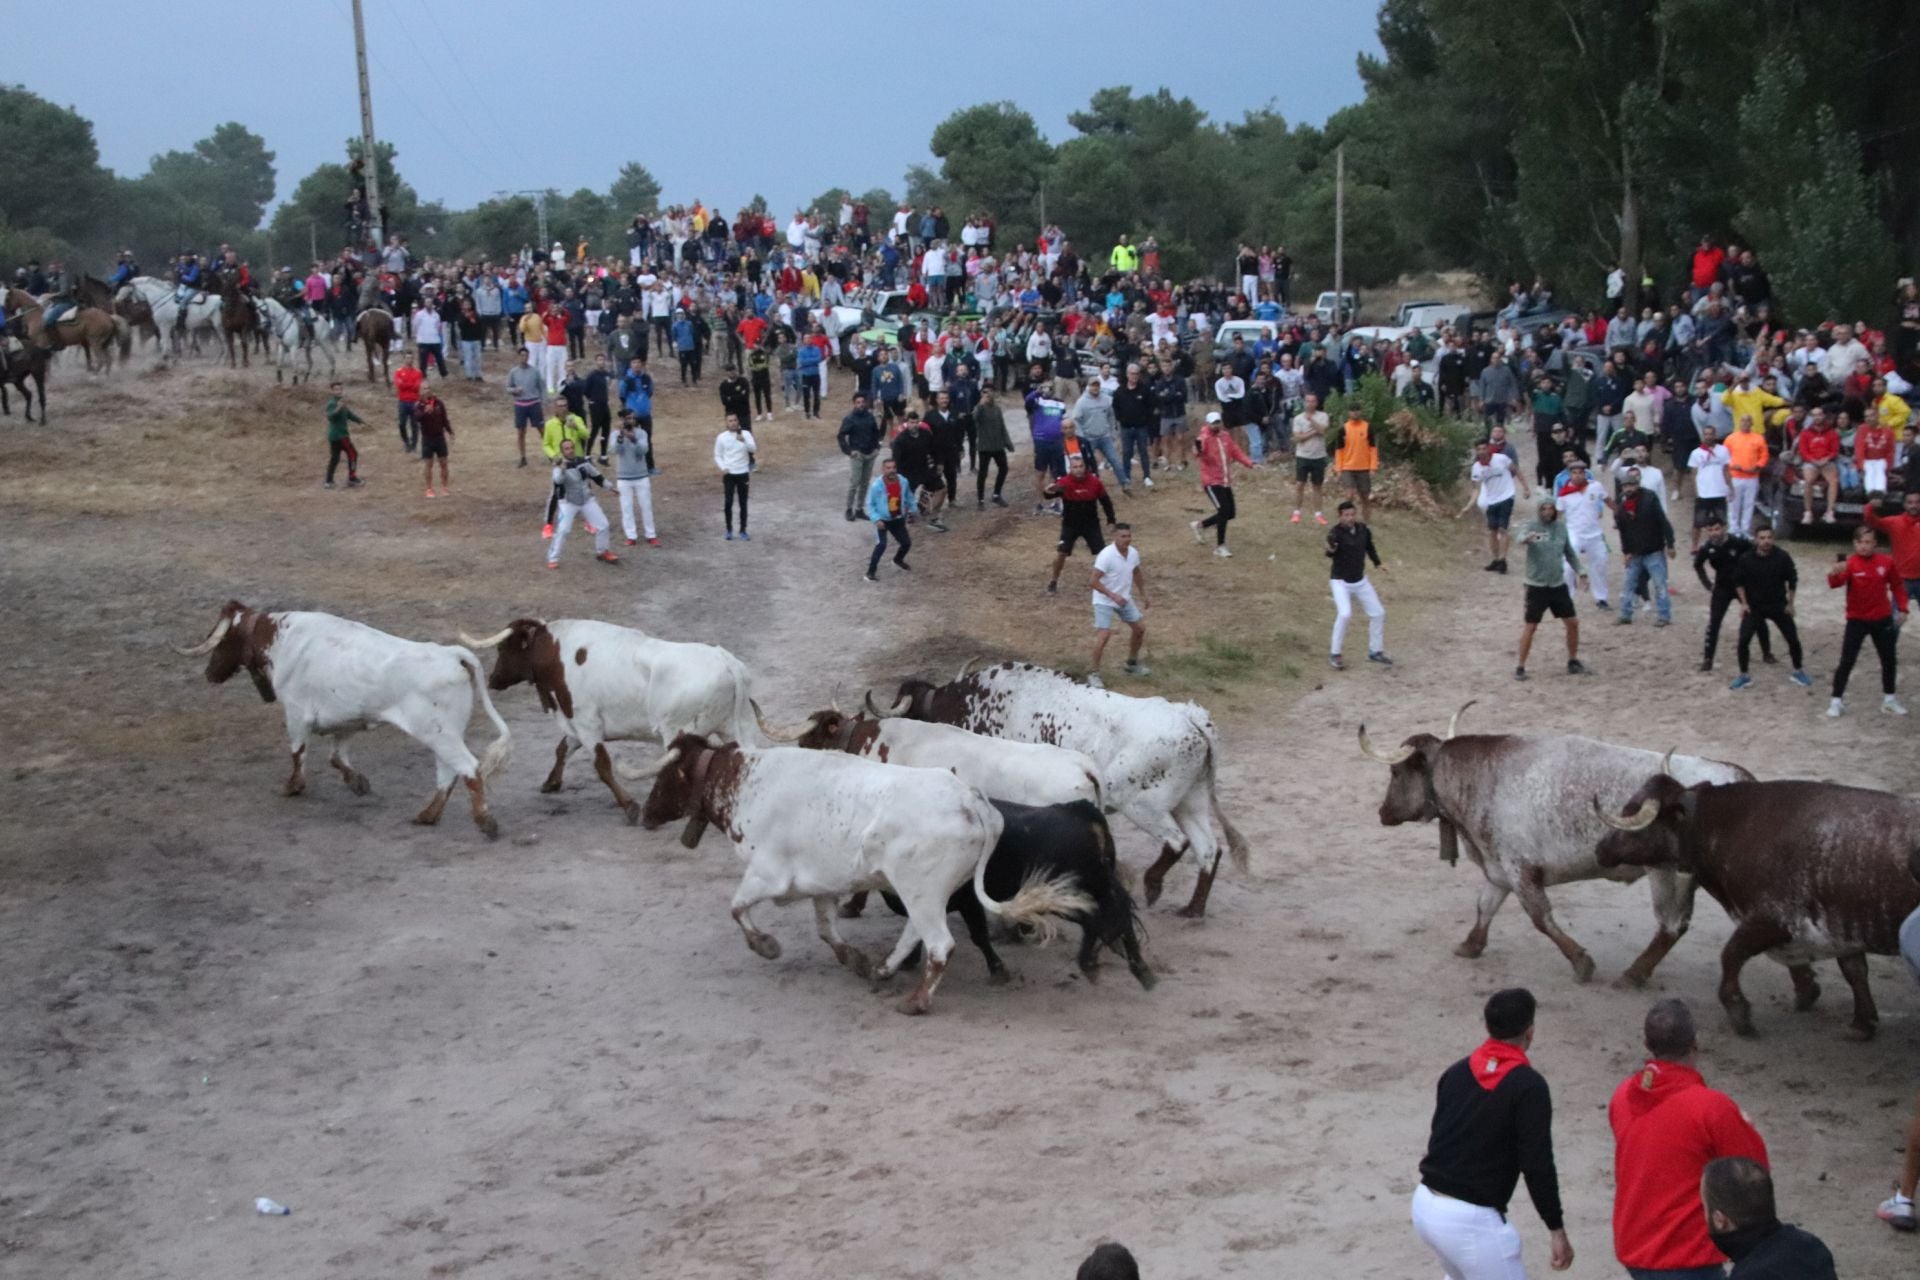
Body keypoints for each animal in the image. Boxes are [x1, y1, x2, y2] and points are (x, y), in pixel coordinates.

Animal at [455, 625, 771, 825]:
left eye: (504, 648)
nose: (493, 679)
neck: (558, 653)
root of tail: (725, 660)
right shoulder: (576, 725)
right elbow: (562, 749)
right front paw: (551, 782)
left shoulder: (587, 724)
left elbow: (602, 766)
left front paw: (630, 806)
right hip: (737, 725)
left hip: (679, 731)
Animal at [618, 736, 1098, 1013]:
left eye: (666, 775)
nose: (647, 813)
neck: (747, 781)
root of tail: (972, 800)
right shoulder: (821, 884)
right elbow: (826, 929)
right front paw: (855, 959)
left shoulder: (767, 875)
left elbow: (736, 908)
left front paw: (766, 945)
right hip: (926, 894)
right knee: (916, 935)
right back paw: (884, 970)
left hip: (921, 890)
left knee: (939, 943)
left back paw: (916, 1001)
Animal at [879, 660, 1251, 921]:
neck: (973, 701)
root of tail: (1191, 719)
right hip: (1190, 802)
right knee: (1208, 849)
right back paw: (1193, 909)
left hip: (1143, 805)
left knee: (1178, 842)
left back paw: (1152, 885)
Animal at [1359, 706, 1751, 990]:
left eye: (1395, 773)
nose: (1382, 813)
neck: (1485, 776)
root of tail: (1737, 776)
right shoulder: (1499, 870)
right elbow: (1485, 906)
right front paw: (1471, 945)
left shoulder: (1521, 870)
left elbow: (1541, 918)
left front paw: (1581, 963)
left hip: (1668, 875)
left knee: (1670, 925)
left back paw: (1634, 974)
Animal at [1597, 775, 1920, 1036]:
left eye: (1630, 813)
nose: (1600, 849)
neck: (1726, 826)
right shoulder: (1842, 929)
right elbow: (1854, 970)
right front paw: (1862, 1023)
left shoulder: (1771, 920)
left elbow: (1731, 955)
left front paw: (1740, 1013)